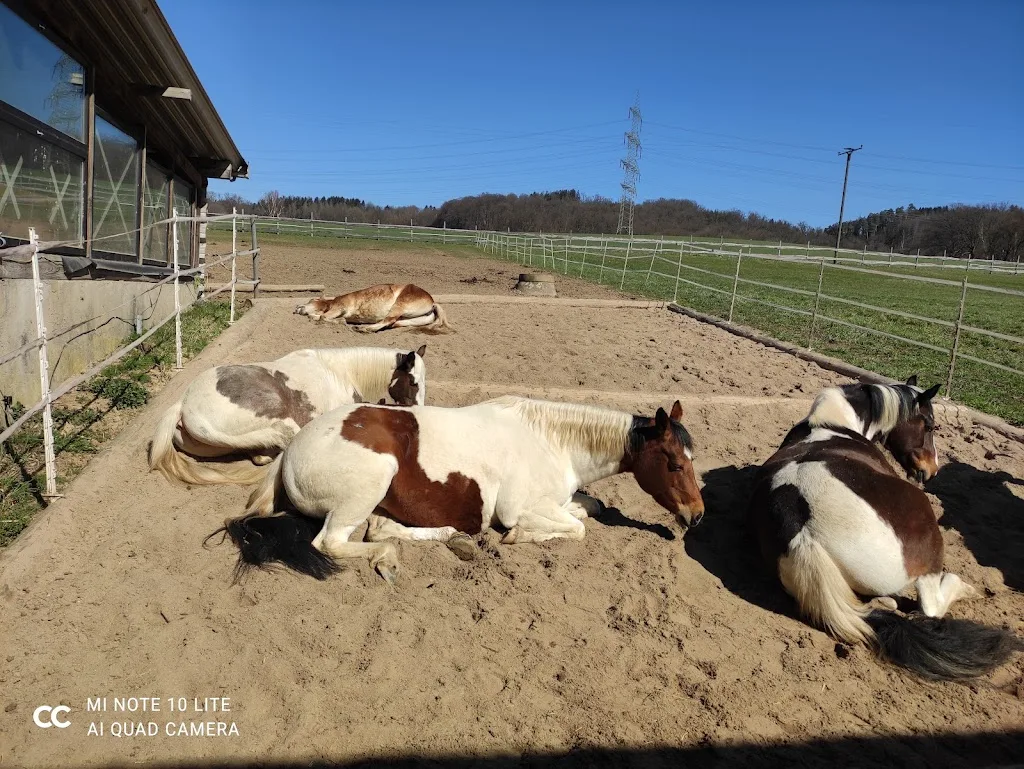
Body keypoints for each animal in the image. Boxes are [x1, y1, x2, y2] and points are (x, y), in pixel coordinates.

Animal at [215, 396, 705, 583]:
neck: (552, 441)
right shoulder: (519, 508)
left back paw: (455, 540)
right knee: (335, 542)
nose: (697, 515)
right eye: (675, 463)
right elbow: (573, 527)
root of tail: (291, 450)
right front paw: (519, 537)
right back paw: (391, 559)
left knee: (382, 529)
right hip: (368, 486)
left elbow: (593, 507)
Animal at [294, 284, 450, 333]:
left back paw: (363, 328)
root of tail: (432, 302)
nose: (296, 307)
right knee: (393, 323)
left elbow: (323, 317)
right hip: (413, 319)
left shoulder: (340, 308)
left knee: (388, 320)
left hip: (399, 305)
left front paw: (342, 321)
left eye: (311, 299)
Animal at [748, 378, 1022, 681]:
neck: (830, 424)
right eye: (930, 425)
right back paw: (963, 587)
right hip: (926, 532)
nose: (932, 470)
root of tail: (801, 529)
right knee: (931, 606)